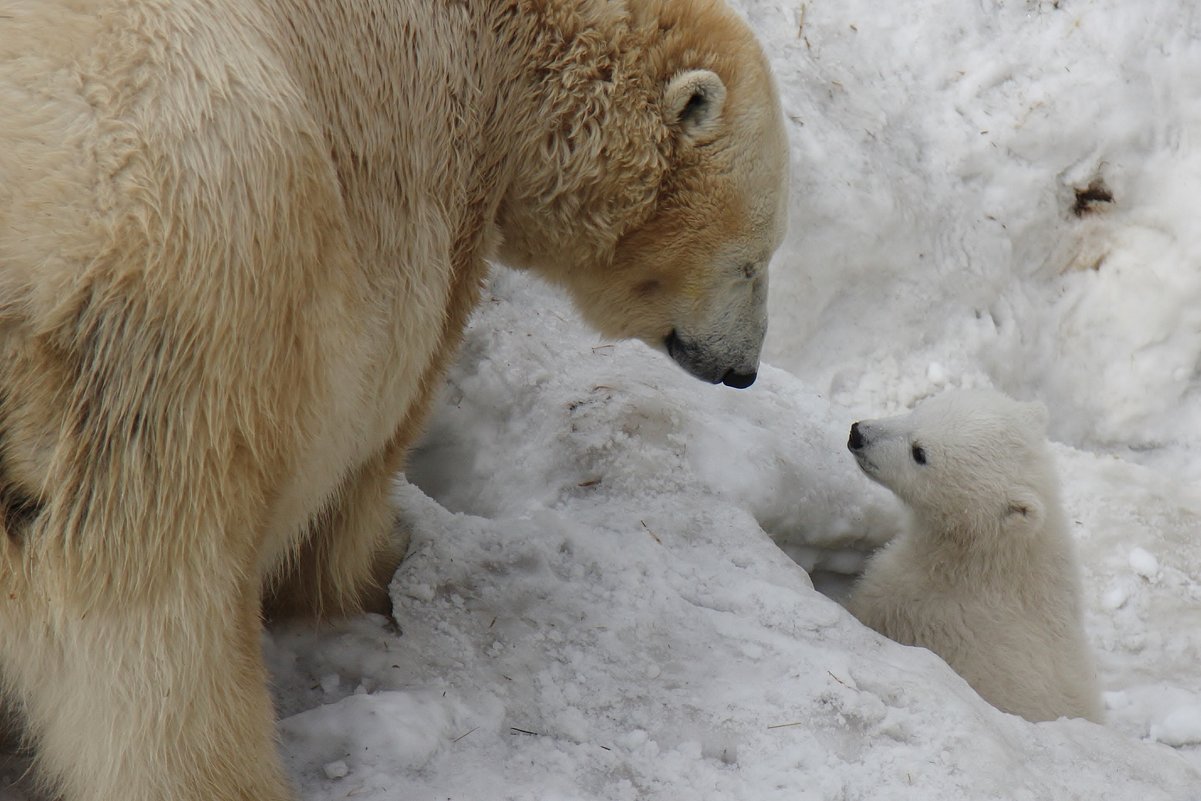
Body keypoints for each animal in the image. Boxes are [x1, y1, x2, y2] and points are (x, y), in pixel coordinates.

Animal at [0, 1, 787, 801]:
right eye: (754, 261)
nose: (743, 370)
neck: (507, 44)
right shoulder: (426, 172)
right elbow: (379, 427)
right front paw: (378, 564)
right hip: (177, 372)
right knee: (161, 647)